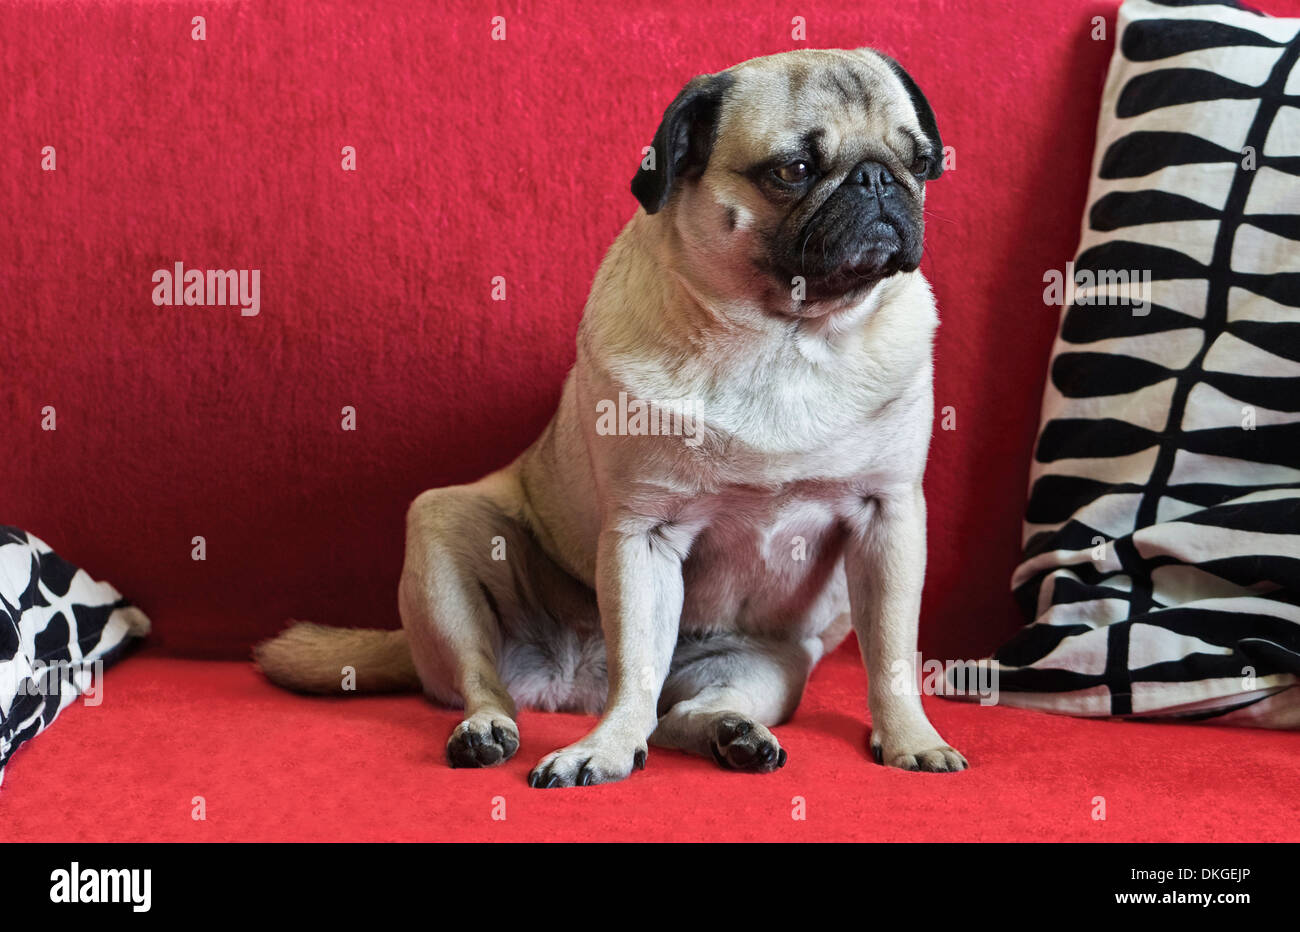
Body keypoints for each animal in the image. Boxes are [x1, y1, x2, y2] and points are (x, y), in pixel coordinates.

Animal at [253, 45, 967, 785]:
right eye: (792, 170)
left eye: (919, 161)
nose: (878, 179)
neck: (784, 339)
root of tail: (574, 683)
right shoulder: (642, 532)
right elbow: (638, 664)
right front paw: (607, 746)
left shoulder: (888, 518)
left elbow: (891, 653)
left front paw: (910, 736)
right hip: (444, 534)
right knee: (502, 683)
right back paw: (493, 730)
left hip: (771, 663)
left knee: (678, 715)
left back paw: (733, 734)